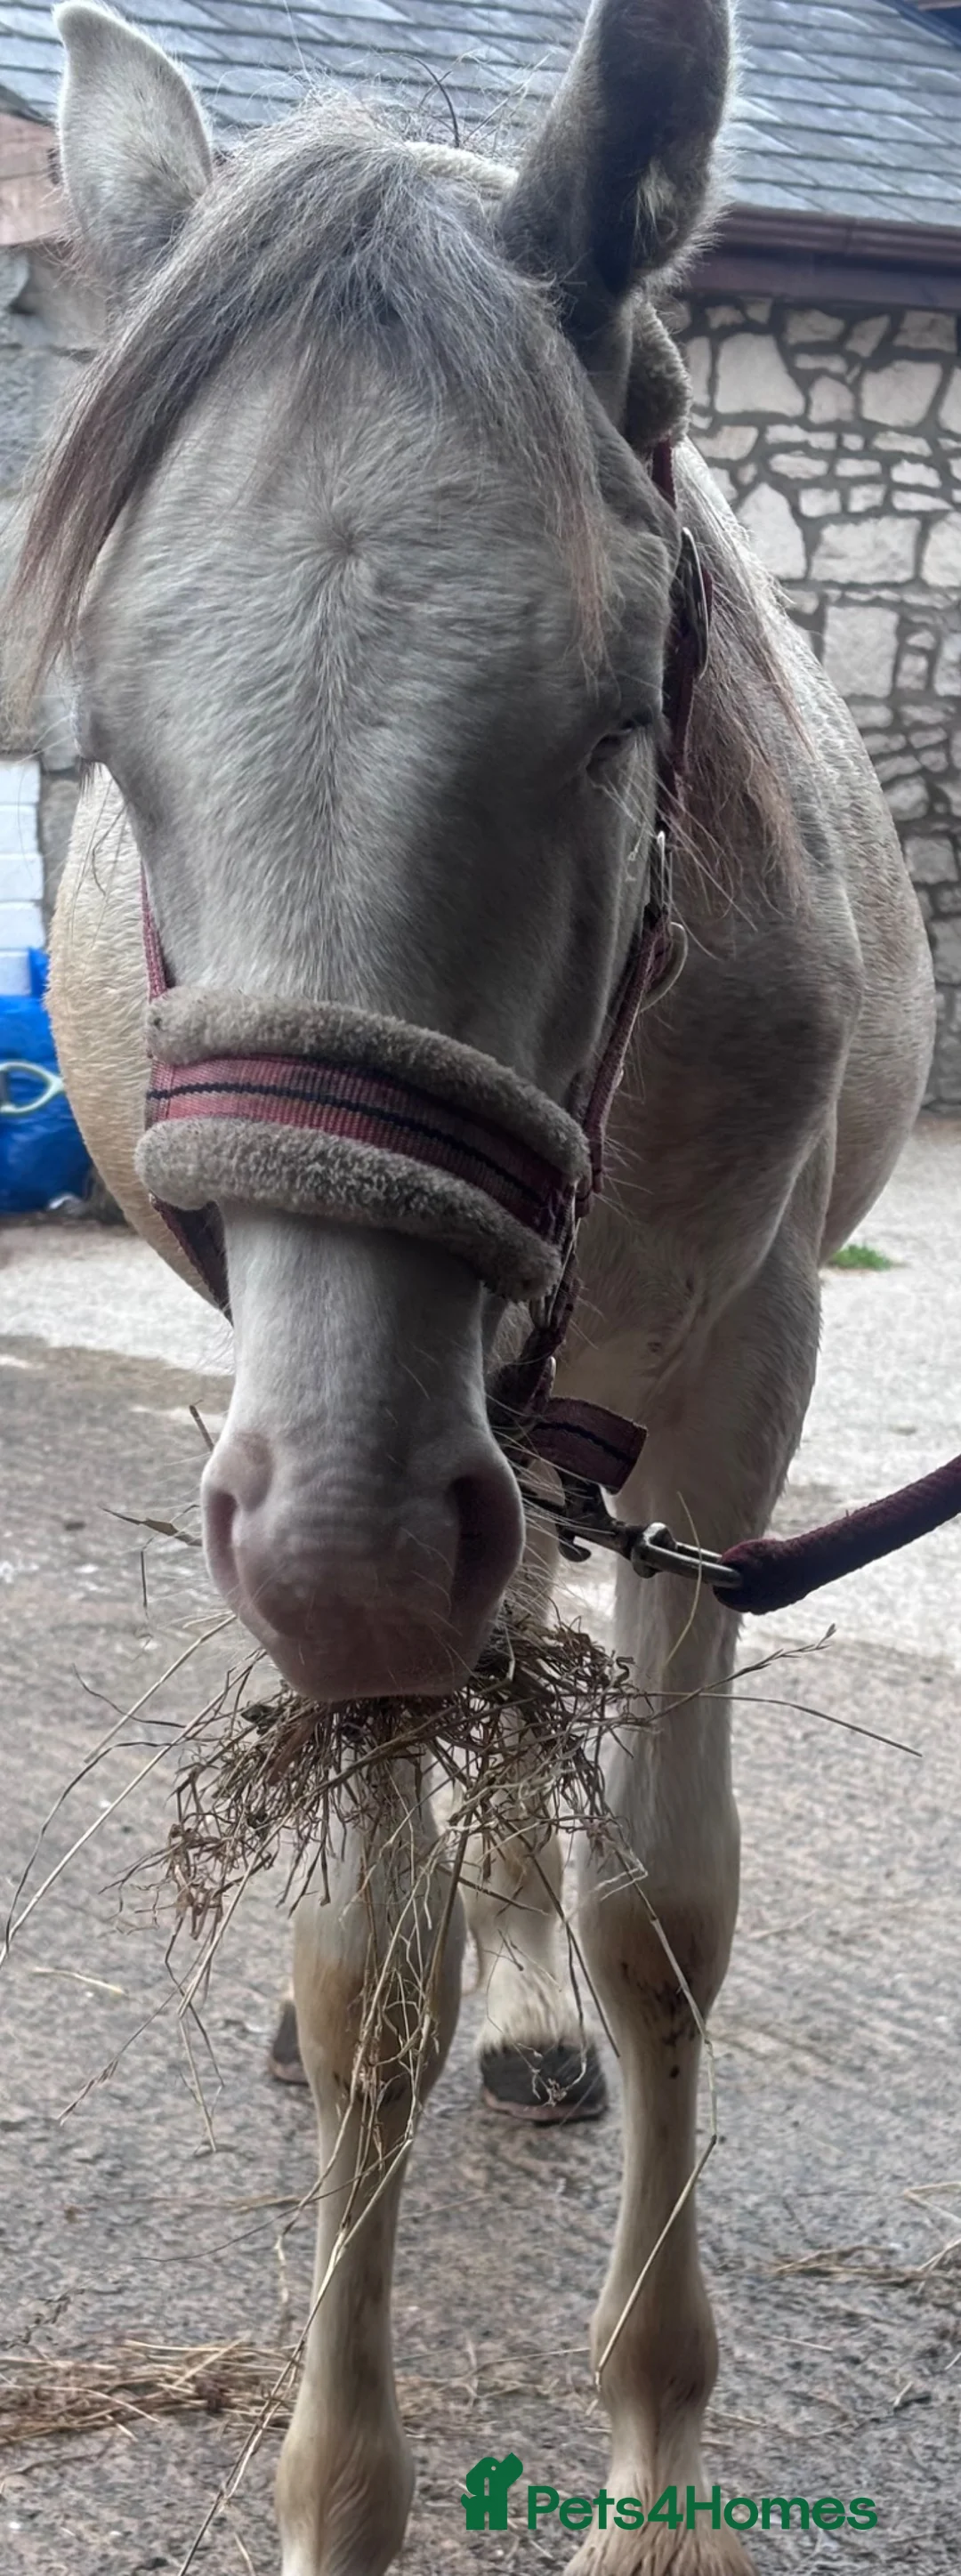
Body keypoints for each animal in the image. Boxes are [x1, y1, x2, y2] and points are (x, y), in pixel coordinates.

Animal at [8, 2, 934, 2569]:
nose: (345, 1563)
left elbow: (663, 1921)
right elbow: (366, 1967)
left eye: (619, 713)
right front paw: (340, 2486)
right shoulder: (334, 1417)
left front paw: (655, 2462)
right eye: (103, 750)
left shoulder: (733, 1395)